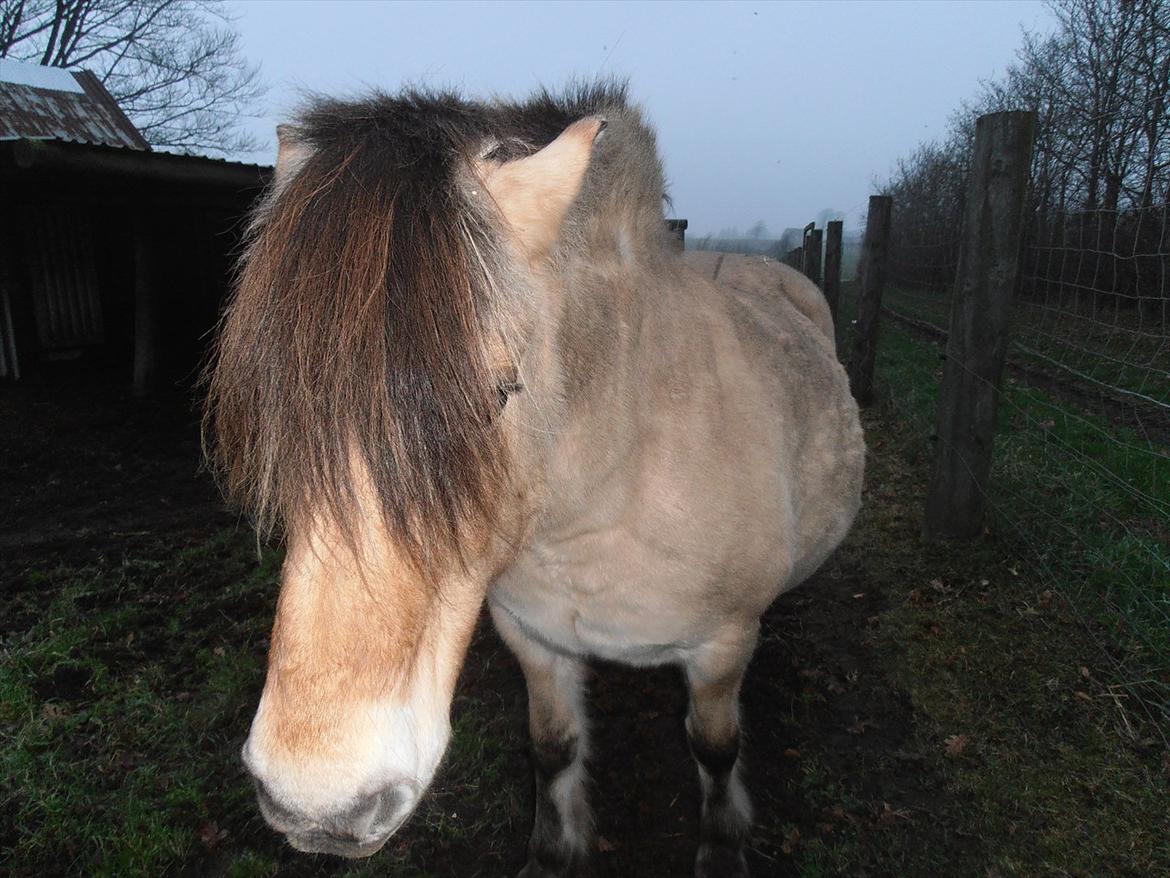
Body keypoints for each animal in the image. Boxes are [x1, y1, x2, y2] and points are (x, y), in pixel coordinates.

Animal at [205, 84, 865, 878]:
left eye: (497, 393)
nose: (320, 803)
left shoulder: (722, 647)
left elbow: (715, 750)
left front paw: (723, 847)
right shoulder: (534, 639)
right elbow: (553, 750)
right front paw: (554, 853)